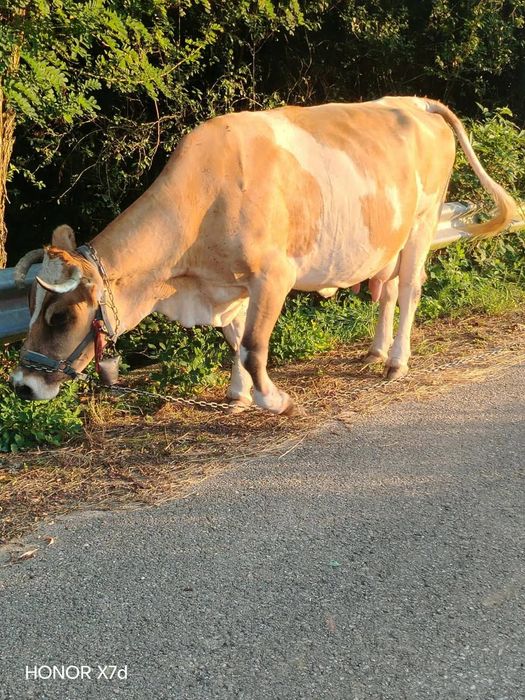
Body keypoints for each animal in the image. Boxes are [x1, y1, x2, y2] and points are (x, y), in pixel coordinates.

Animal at [10, 96, 517, 414]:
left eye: (60, 317)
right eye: (30, 306)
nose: (21, 385)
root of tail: (413, 101)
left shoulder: (273, 275)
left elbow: (253, 346)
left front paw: (273, 400)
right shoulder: (226, 283)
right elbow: (234, 338)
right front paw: (236, 395)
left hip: (423, 223)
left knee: (410, 290)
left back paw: (397, 362)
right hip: (387, 240)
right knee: (388, 290)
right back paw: (375, 351)